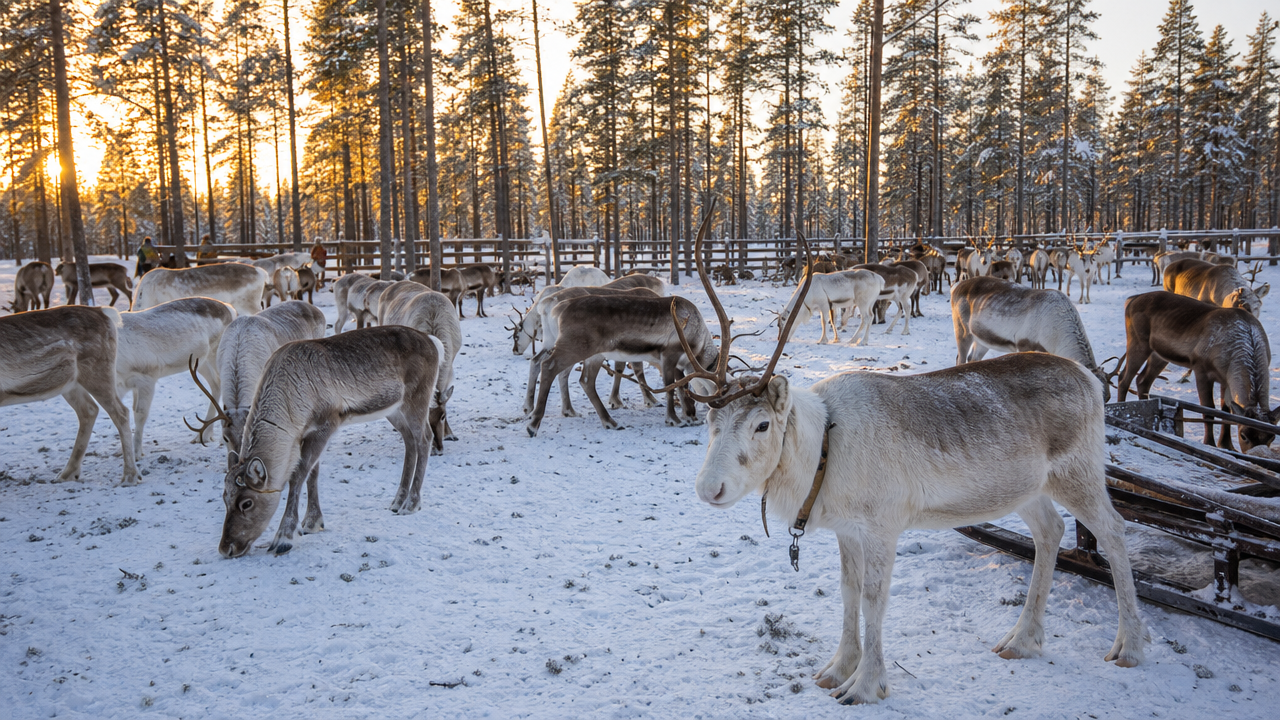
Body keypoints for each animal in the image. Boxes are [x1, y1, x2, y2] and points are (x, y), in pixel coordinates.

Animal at [0, 306, 140, 485]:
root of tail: (103, 312)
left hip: (97, 371)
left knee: (120, 412)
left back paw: (130, 475)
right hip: (71, 384)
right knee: (89, 410)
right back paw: (68, 473)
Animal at [114, 297, 236, 457]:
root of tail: (230, 309)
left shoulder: (147, 377)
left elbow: (140, 413)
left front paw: (137, 452)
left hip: (216, 353)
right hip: (199, 361)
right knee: (215, 384)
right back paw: (202, 436)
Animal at [209, 325, 442, 558]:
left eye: (246, 503)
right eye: (224, 497)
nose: (226, 548)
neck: (290, 406)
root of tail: (433, 341)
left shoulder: (326, 424)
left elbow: (298, 475)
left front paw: (284, 537)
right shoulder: (307, 433)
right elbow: (313, 474)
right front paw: (312, 522)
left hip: (417, 398)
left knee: (424, 438)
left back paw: (411, 503)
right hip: (394, 410)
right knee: (409, 440)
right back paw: (397, 501)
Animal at [951, 276, 1111, 401]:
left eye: (1108, 397)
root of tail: (956, 287)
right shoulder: (1024, 344)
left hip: (982, 339)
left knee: (972, 358)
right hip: (962, 330)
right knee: (960, 358)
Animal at [1116, 291, 1276, 452]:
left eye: (1271, 437)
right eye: (1243, 435)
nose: (1259, 452)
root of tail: (1132, 299)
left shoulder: (1226, 378)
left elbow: (1226, 411)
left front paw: (1227, 445)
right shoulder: (1201, 369)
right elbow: (1208, 410)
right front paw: (1210, 443)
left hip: (1159, 354)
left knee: (1142, 380)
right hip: (1138, 341)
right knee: (1124, 378)